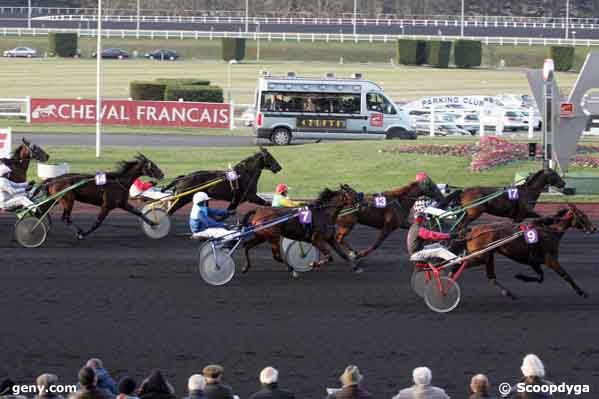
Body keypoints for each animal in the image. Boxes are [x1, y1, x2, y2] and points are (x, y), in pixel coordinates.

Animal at [460, 206, 596, 300]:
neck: (550, 231)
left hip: (488, 255)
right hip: (480, 256)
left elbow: (540, 277)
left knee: (491, 278)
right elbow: (565, 275)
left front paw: (521, 277)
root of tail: (473, 230)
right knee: (462, 264)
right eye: (583, 216)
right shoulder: (550, 260)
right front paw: (582, 292)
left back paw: (509, 293)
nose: (594, 228)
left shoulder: (534, 262)